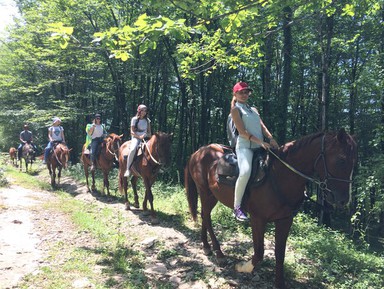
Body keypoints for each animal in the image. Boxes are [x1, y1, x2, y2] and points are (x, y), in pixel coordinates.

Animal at [184, 129, 356, 288]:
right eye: (341, 160)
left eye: (354, 161)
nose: (343, 201)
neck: (280, 175)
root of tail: (198, 152)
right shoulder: (257, 219)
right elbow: (259, 252)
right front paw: (244, 267)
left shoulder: (285, 220)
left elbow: (280, 253)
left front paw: (279, 283)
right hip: (205, 192)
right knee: (206, 216)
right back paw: (218, 252)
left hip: (212, 196)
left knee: (205, 215)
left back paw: (207, 247)